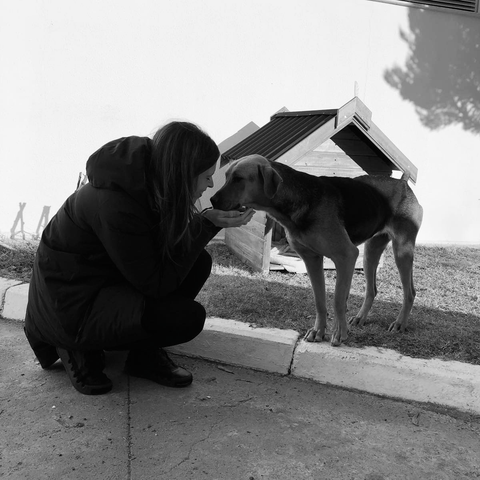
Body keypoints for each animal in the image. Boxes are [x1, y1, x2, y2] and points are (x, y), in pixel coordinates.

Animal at [212, 154, 422, 344]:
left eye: (238, 178)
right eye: (226, 176)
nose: (213, 200)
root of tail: (402, 184)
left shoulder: (346, 256)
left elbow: (338, 299)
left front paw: (339, 333)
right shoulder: (312, 259)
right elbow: (320, 300)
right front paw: (318, 332)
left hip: (401, 250)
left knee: (410, 292)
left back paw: (399, 323)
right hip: (370, 252)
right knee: (372, 290)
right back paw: (360, 317)